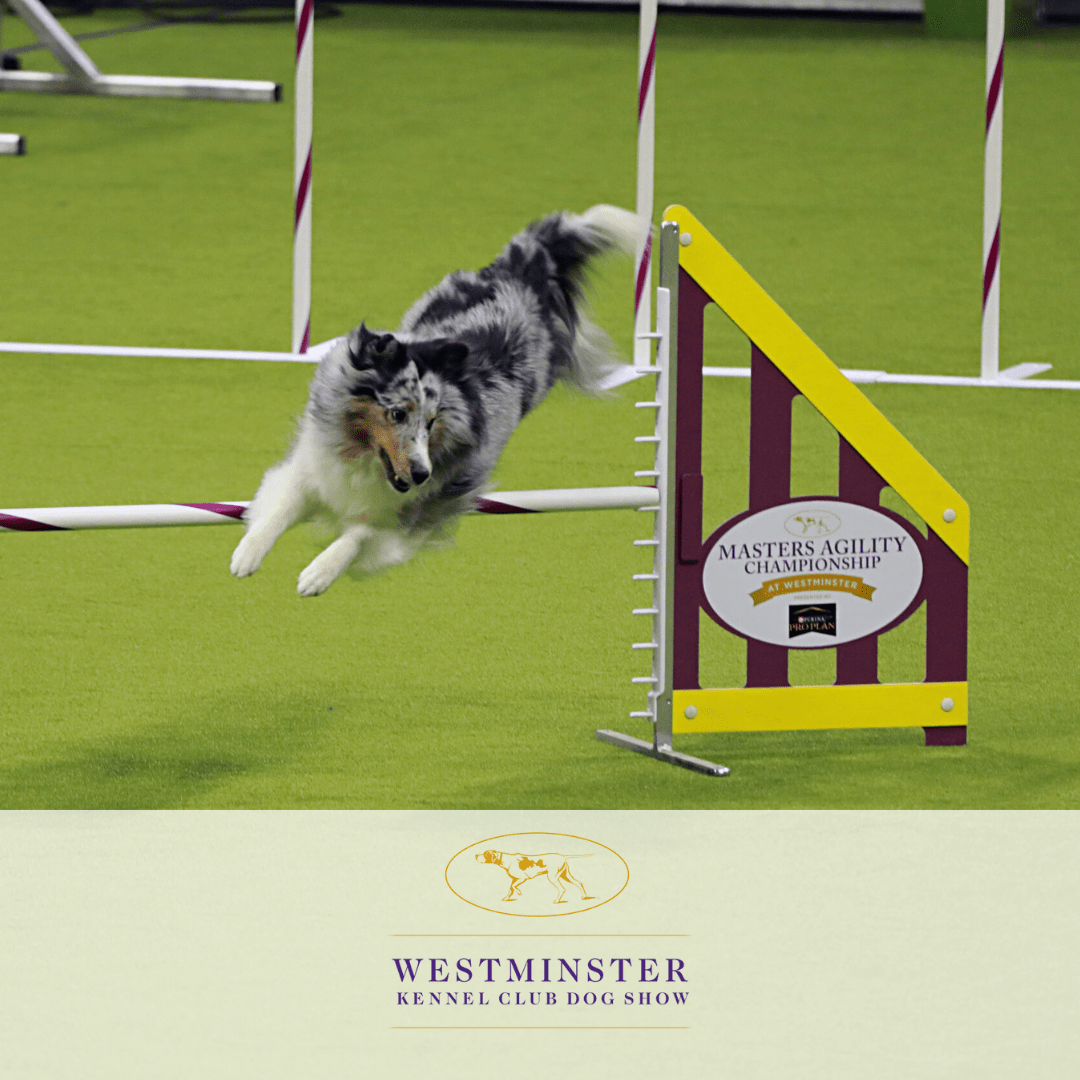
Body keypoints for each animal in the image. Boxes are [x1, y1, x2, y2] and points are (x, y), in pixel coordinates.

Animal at [230, 206, 639, 596]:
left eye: (431, 421)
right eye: (397, 413)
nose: (421, 474)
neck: (363, 458)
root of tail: (522, 267)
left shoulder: (414, 513)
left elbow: (358, 534)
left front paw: (318, 573)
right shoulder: (313, 469)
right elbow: (280, 508)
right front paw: (247, 553)